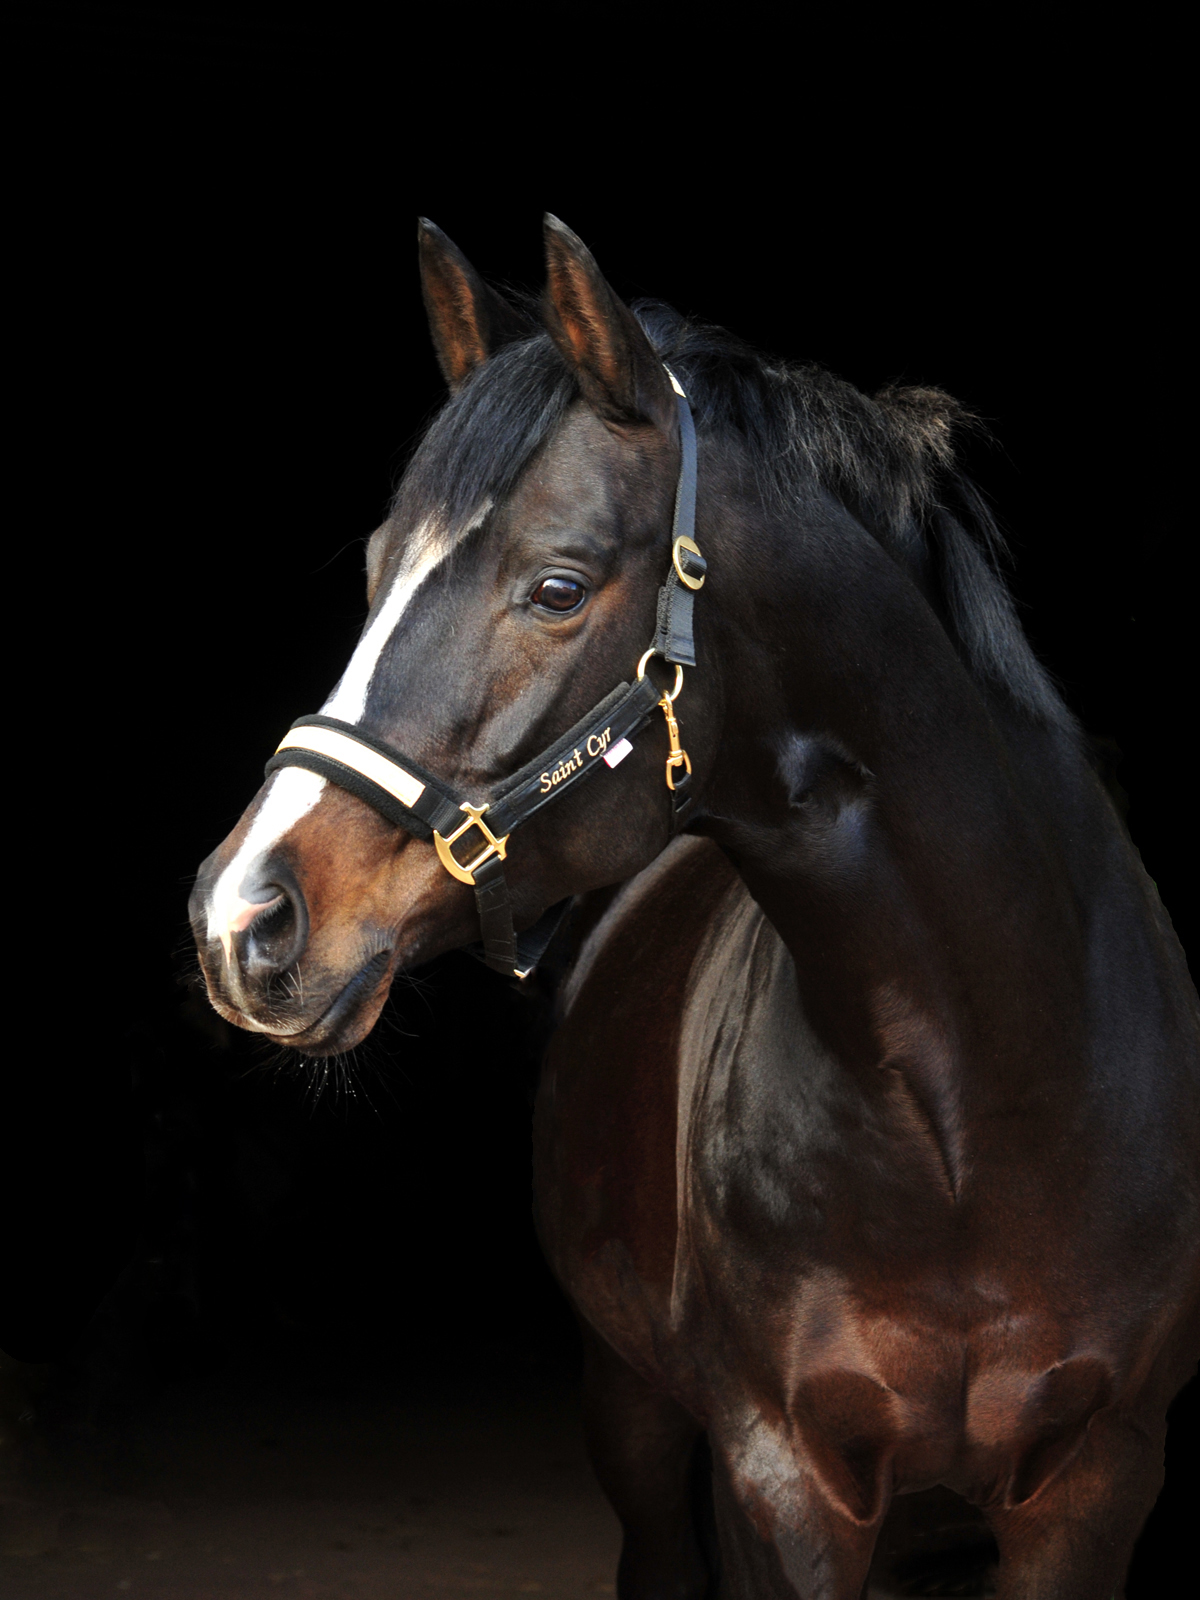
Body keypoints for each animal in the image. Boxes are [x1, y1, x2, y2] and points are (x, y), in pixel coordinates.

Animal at [190, 216, 1200, 1600]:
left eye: (558, 588)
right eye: (378, 570)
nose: (243, 917)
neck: (979, 1106)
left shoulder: (1099, 1481)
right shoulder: (779, 1477)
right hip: (631, 1409)